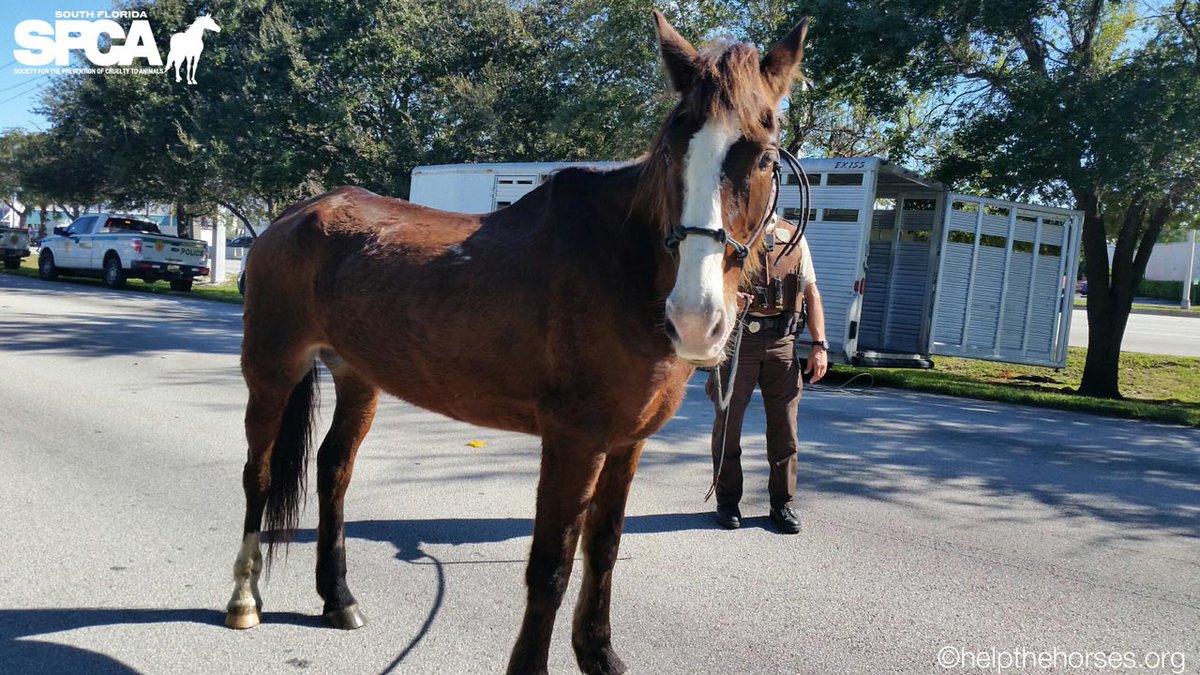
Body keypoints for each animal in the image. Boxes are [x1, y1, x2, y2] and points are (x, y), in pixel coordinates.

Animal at [224, 11, 809, 674]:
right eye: (670, 153)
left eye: (762, 157)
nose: (693, 318)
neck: (621, 267)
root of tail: (289, 217)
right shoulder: (574, 439)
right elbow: (551, 566)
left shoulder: (626, 443)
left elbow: (603, 550)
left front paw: (599, 654)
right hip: (271, 369)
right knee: (259, 473)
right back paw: (244, 599)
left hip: (357, 376)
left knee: (333, 471)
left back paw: (338, 598)